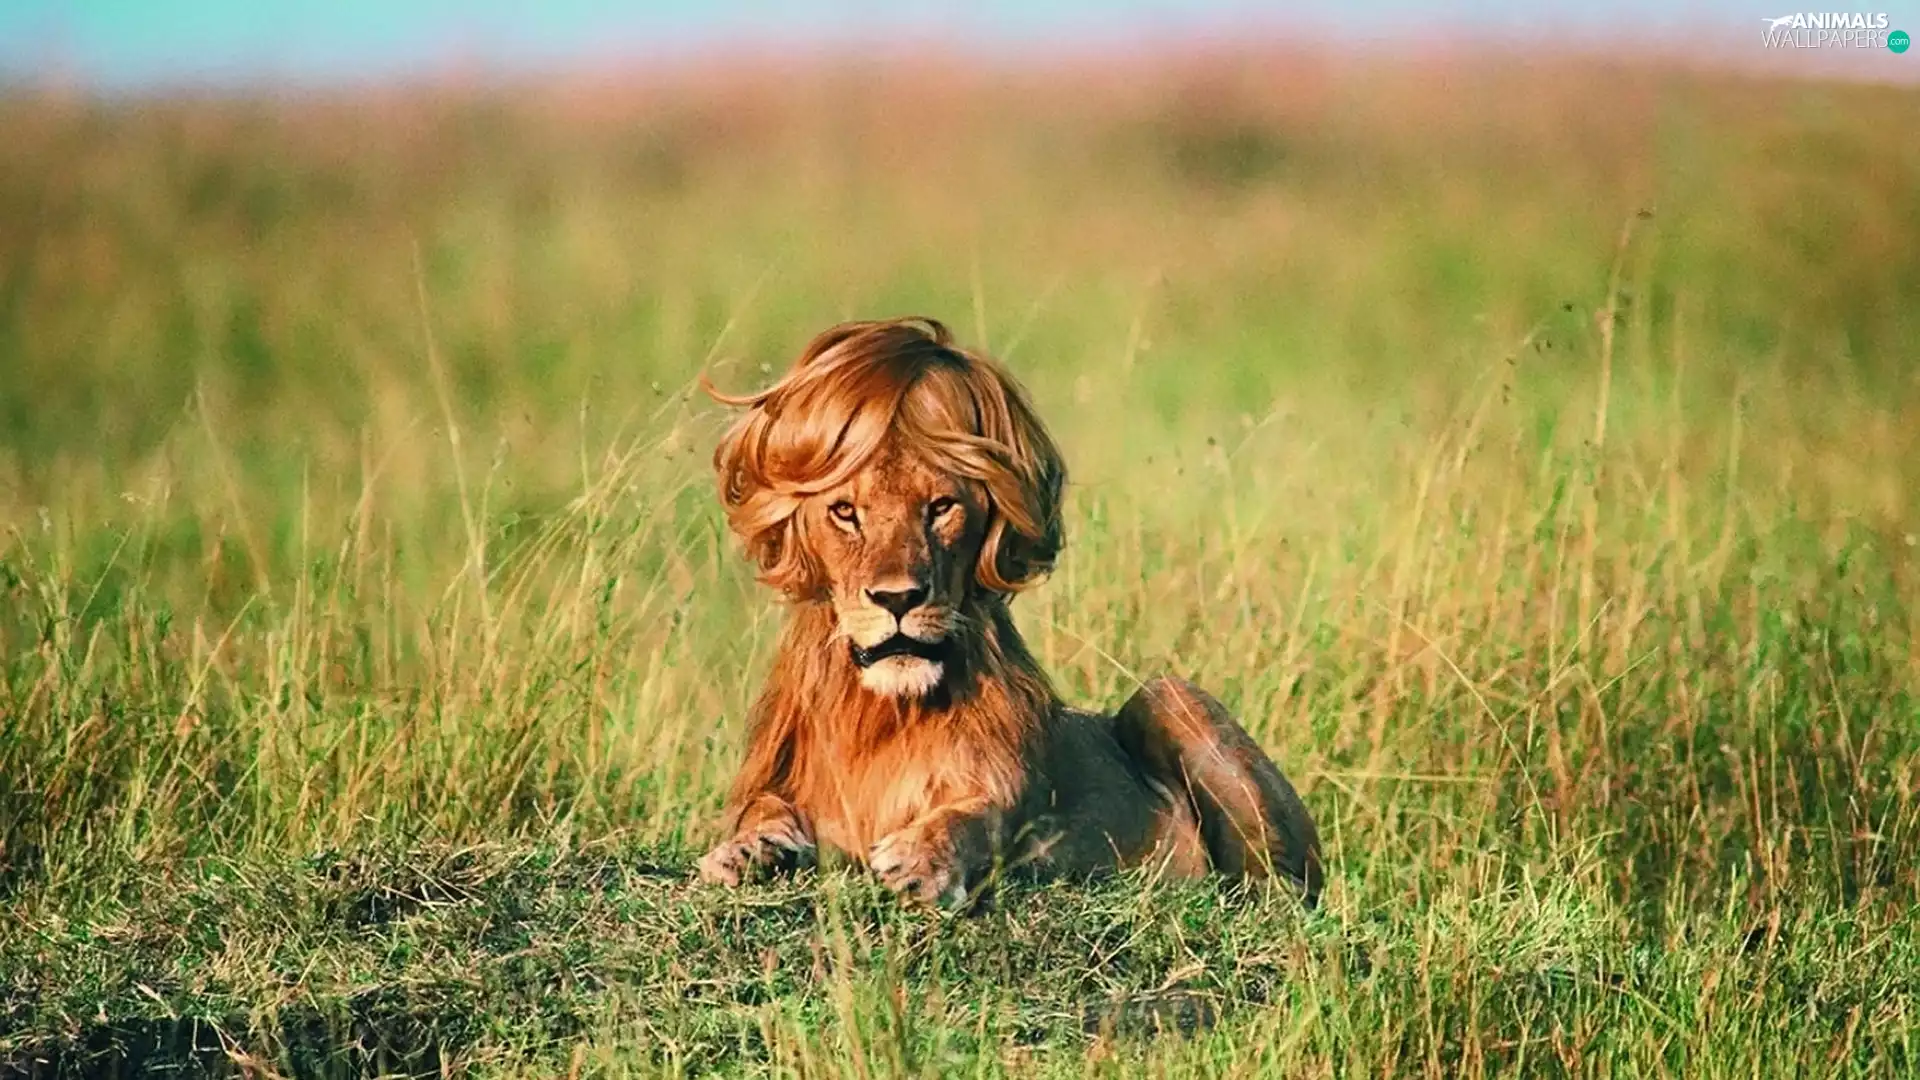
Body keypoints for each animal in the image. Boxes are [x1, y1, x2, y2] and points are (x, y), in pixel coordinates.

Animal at [696, 316, 1322, 907]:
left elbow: (980, 814)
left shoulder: (1023, 802)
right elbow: (761, 807)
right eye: (845, 512)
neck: (882, 714)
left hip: (1170, 695)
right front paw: (748, 851)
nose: (898, 599)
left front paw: (922, 859)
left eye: (941, 507)